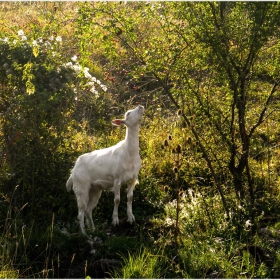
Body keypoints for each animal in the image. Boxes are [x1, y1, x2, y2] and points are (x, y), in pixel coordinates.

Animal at [66, 104, 144, 234]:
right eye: (128, 113)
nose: (140, 106)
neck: (129, 154)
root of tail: (73, 172)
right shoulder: (117, 179)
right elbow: (117, 199)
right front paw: (115, 220)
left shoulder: (132, 178)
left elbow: (130, 197)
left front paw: (131, 218)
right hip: (81, 187)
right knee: (80, 212)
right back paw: (84, 234)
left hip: (95, 189)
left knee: (88, 210)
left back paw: (93, 229)